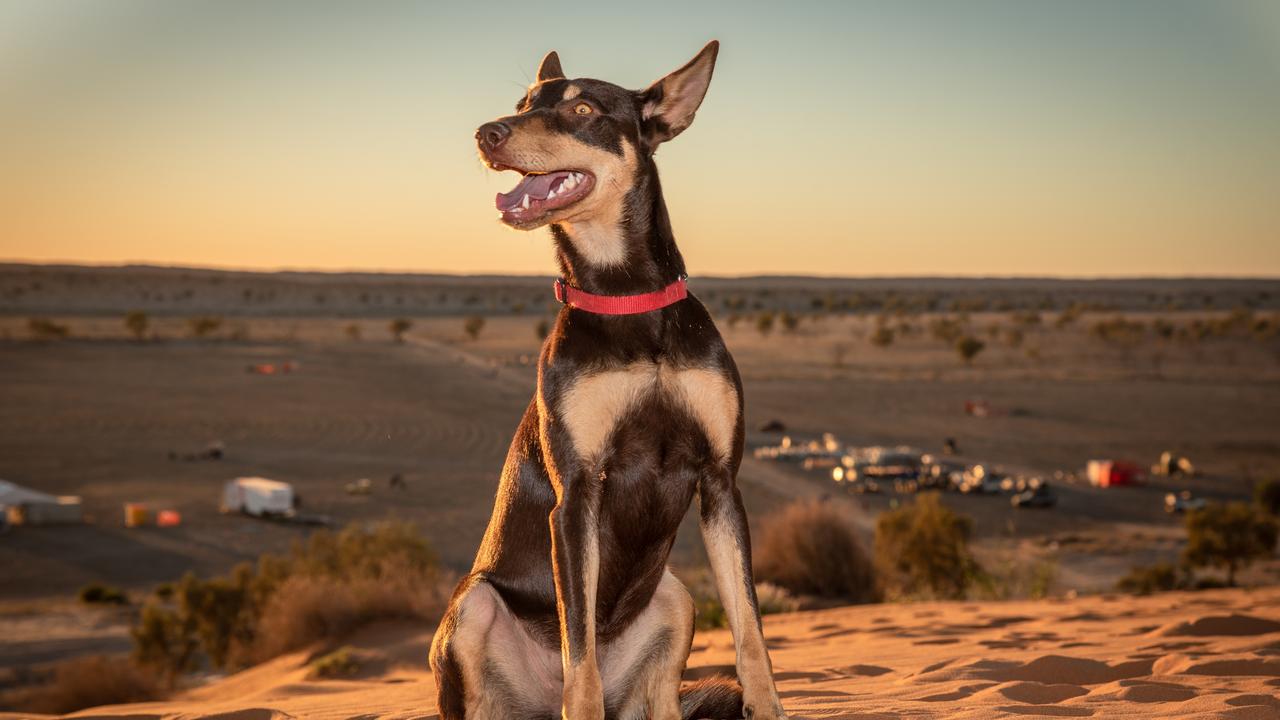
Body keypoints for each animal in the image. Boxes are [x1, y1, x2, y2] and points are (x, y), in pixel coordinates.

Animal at [430, 41, 783, 712]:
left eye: (583, 109)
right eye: (523, 104)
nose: (488, 133)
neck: (626, 297)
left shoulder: (721, 482)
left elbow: (751, 631)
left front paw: (769, 706)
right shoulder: (577, 494)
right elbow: (582, 654)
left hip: (674, 597)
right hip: (474, 605)